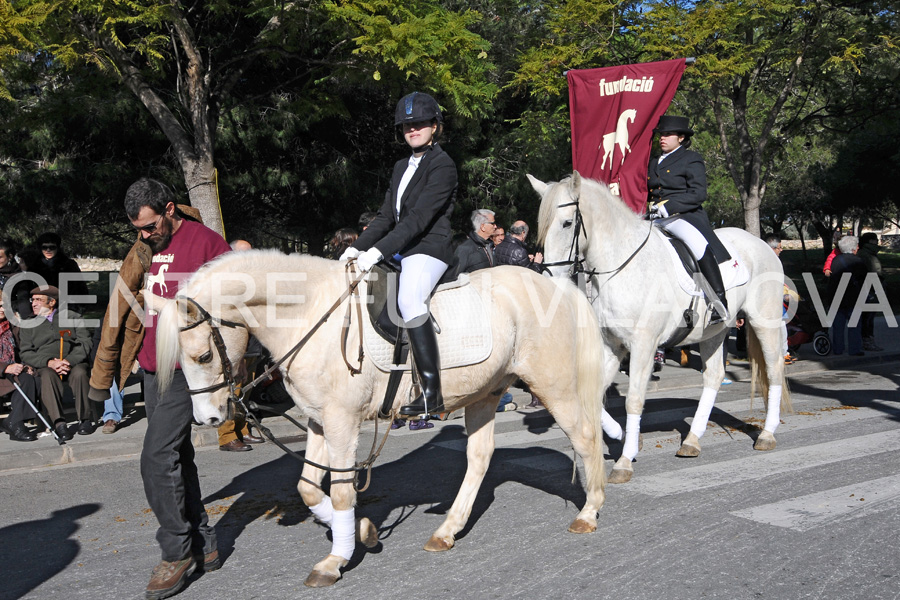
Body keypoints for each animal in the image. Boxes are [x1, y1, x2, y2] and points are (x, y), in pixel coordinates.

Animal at [151, 251, 608, 588]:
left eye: (203, 356)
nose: (208, 418)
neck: (311, 313)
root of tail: (556, 285)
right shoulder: (319, 421)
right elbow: (308, 489)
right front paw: (362, 531)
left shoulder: (342, 422)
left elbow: (339, 493)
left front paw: (335, 559)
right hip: (486, 393)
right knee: (480, 458)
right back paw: (447, 531)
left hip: (552, 384)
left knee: (585, 438)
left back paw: (588, 513)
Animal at [532, 172, 792, 482]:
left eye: (567, 223)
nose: (550, 278)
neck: (619, 266)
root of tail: (760, 243)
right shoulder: (612, 345)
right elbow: (594, 397)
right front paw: (624, 437)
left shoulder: (643, 345)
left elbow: (633, 400)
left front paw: (624, 461)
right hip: (714, 332)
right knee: (714, 376)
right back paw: (692, 440)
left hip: (764, 320)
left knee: (774, 367)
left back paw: (767, 433)